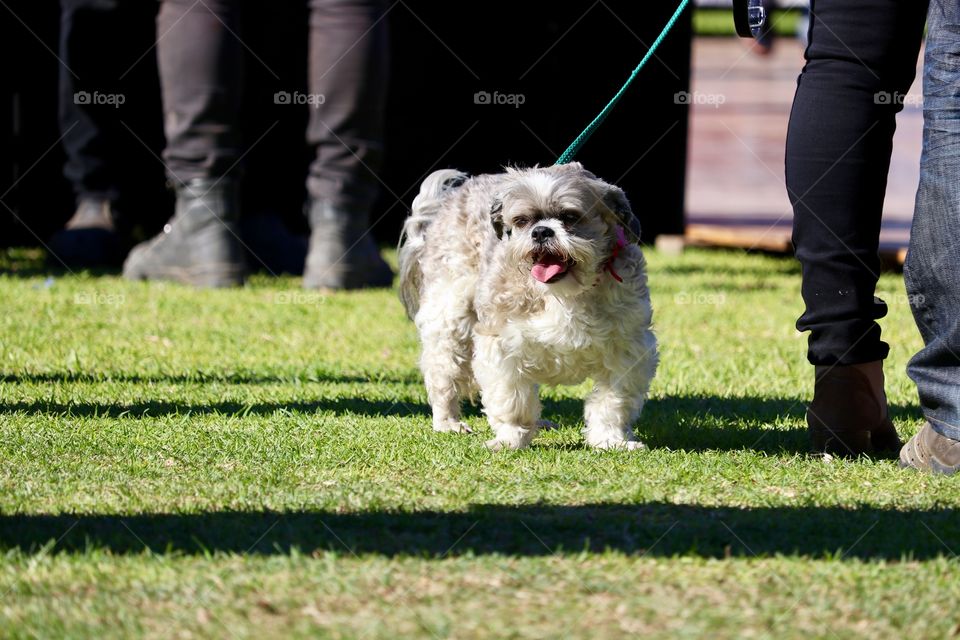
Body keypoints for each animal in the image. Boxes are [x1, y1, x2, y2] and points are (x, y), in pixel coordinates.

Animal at [400, 162, 660, 452]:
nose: (541, 231)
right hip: (449, 319)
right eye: (522, 221)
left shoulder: (626, 348)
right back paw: (448, 422)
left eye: (570, 217)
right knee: (442, 373)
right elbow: (511, 399)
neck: (564, 293)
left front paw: (611, 439)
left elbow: (613, 401)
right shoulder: (501, 344)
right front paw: (511, 437)